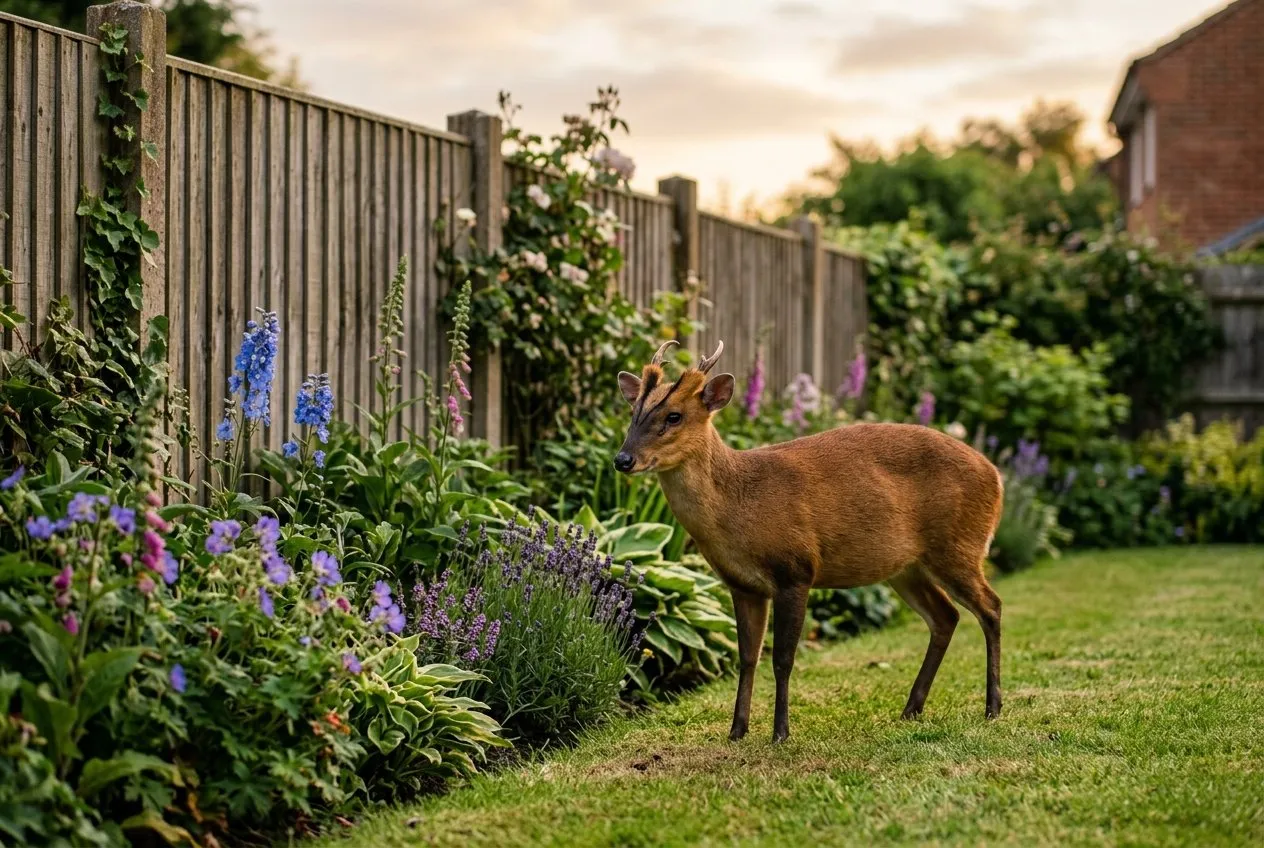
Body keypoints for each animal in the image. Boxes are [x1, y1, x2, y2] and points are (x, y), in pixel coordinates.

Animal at [614, 339, 1005, 744]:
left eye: (674, 416)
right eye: (633, 412)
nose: (623, 459)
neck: (739, 506)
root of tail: (996, 475)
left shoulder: (796, 569)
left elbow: (783, 659)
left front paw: (780, 732)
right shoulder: (742, 585)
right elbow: (747, 657)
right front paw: (737, 730)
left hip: (958, 547)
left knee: (991, 607)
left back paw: (992, 708)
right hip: (907, 568)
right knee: (946, 616)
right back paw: (912, 709)